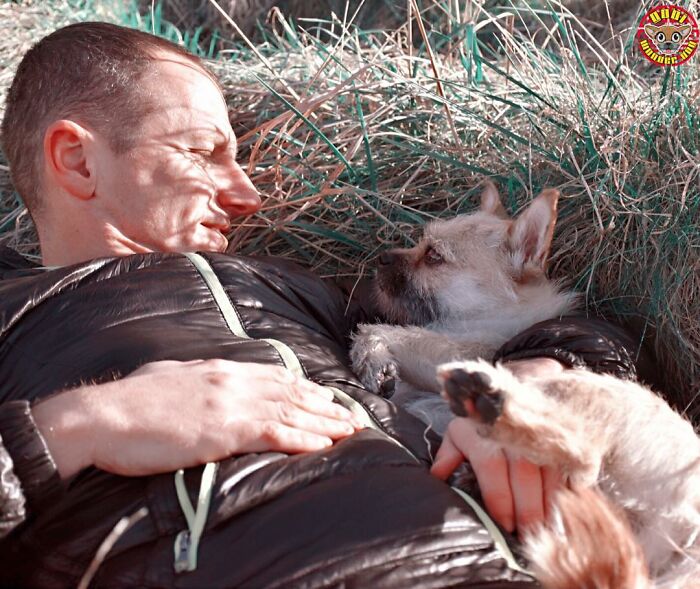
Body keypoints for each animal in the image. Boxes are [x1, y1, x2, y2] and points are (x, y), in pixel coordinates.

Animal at [350, 183, 700, 584]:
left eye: (434, 256)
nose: (381, 258)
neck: (498, 313)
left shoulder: (458, 351)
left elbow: (385, 332)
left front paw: (371, 356)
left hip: (587, 393)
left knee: (583, 456)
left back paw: (492, 405)